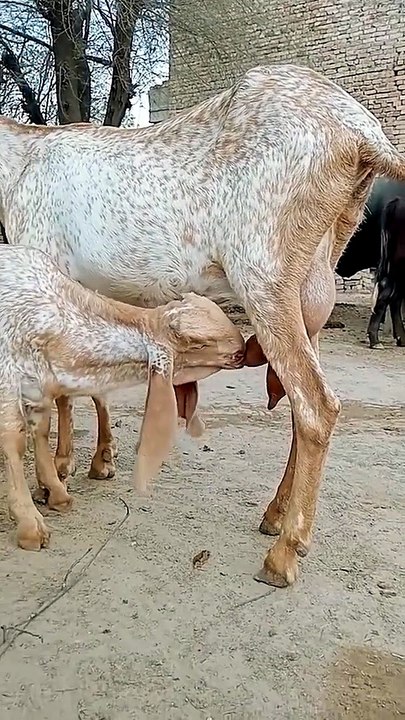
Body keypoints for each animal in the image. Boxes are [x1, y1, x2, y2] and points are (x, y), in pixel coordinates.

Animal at [0, 245, 245, 551]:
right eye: (199, 342)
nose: (243, 349)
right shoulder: (8, 376)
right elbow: (14, 441)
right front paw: (29, 523)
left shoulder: (38, 387)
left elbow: (41, 430)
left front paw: (55, 491)